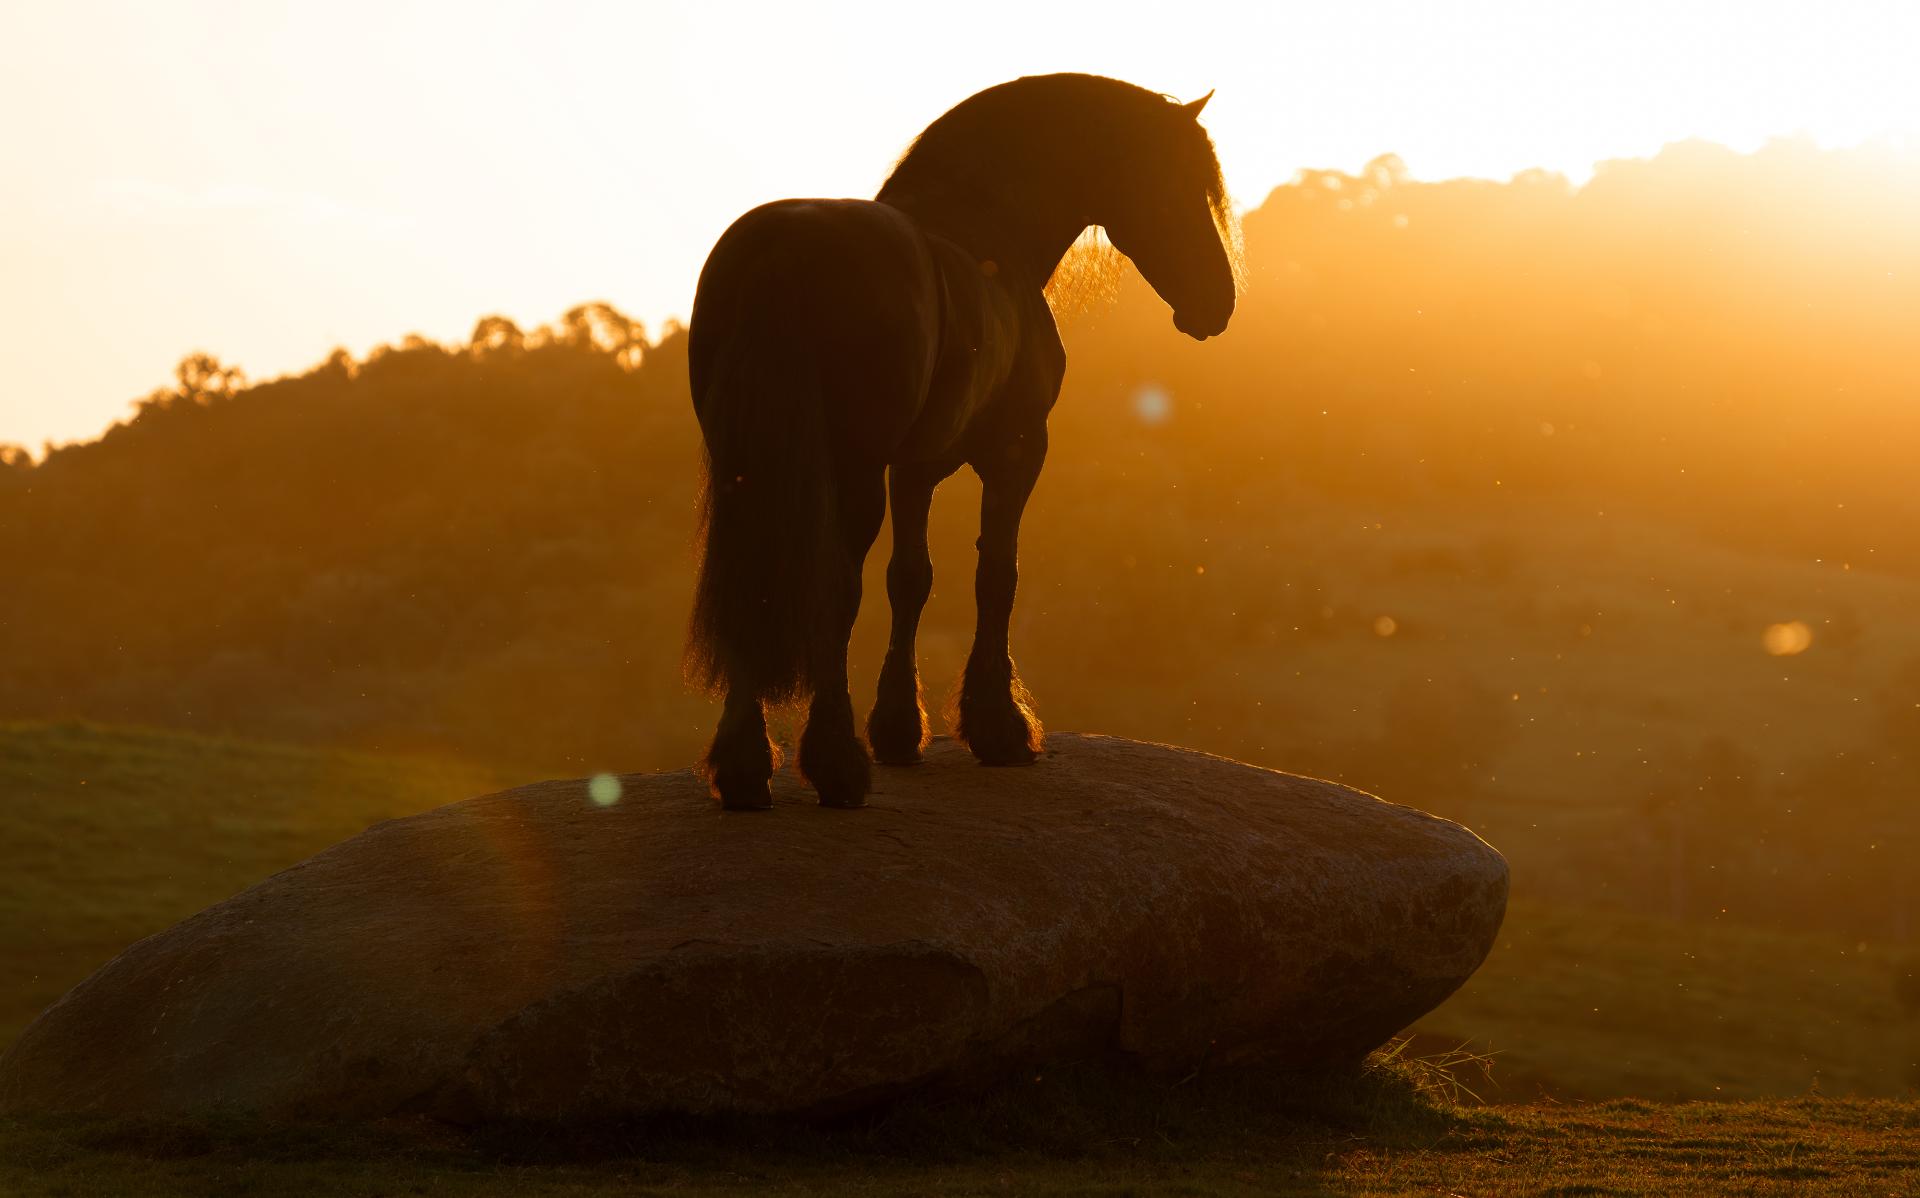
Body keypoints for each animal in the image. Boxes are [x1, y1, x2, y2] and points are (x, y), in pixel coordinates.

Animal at [691, 70, 1244, 810]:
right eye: (1177, 180)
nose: (1217, 301)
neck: (990, 237)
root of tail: (785, 253)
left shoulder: (915, 467)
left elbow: (911, 579)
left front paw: (900, 729)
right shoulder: (1016, 452)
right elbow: (995, 576)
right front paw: (999, 728)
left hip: (750, 471)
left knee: (755, 583)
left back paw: (746, 769)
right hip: (850, 473)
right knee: (833, 588)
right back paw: (835, 765)